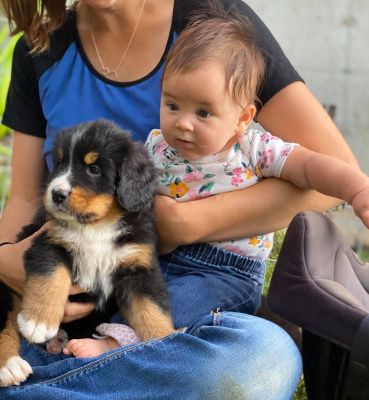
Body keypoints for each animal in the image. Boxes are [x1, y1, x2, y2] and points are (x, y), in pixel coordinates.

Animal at [0, 119, 174, 388]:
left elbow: (152, 310)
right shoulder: (47, 243)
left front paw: (166, 341)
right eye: (59, 164)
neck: (97, 226)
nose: (56, 194)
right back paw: (10, 365)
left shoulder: (138, 266)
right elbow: (51, 279)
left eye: (94, 168)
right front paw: (38, 321)